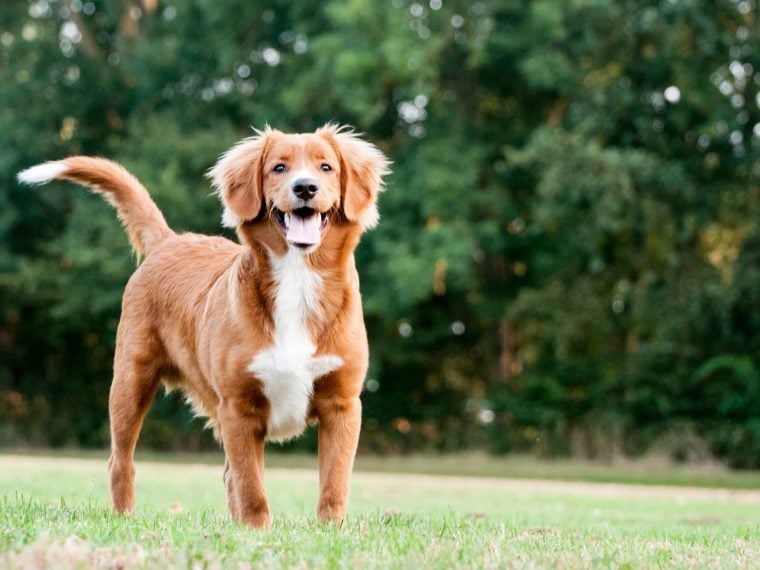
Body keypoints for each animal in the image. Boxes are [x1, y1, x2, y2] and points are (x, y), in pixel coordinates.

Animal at [18, 123, 392, 524]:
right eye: (278, 167)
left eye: (326, 167)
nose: (305, 187)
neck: (298, 277)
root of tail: (169, 241)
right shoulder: (238, 407)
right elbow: (251, 485)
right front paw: (256, 529)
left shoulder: (342, 404)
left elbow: (333, 483)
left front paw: (329, 529)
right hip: (130, 382)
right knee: (122, 462)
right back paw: (124, 516)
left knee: (227, 474)